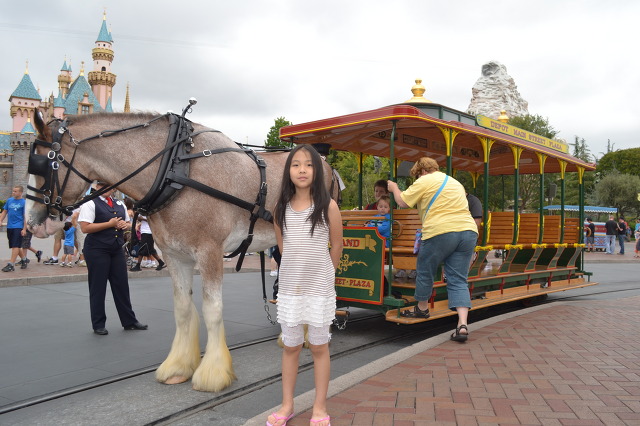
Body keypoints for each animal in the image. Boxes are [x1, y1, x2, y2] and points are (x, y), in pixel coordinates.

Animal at [27, 106, 338, 392]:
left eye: (44, 164)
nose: (33, 224)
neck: (175, 169)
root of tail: (326, 164)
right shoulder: (175, 256)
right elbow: (183, 309)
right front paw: (177, 367)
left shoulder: (209, 252)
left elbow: (212, 309)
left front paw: (213, 374)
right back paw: (292, 337)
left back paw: (310, 337)